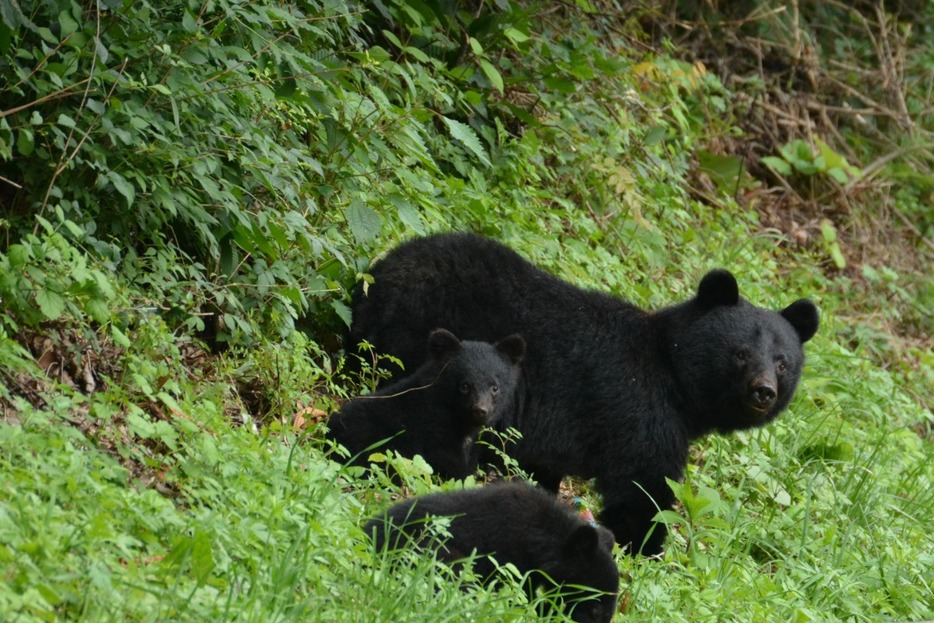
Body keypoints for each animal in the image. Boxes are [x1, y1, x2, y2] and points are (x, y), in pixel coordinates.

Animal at [350, 234, 820, 556]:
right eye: (741, 354)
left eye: (782, 362)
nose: (763, 391)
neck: (674, 379)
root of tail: (380, 274)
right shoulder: (639, 413)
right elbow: (641, 487)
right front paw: (644, 544)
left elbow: (539, 468)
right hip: (421, 337)